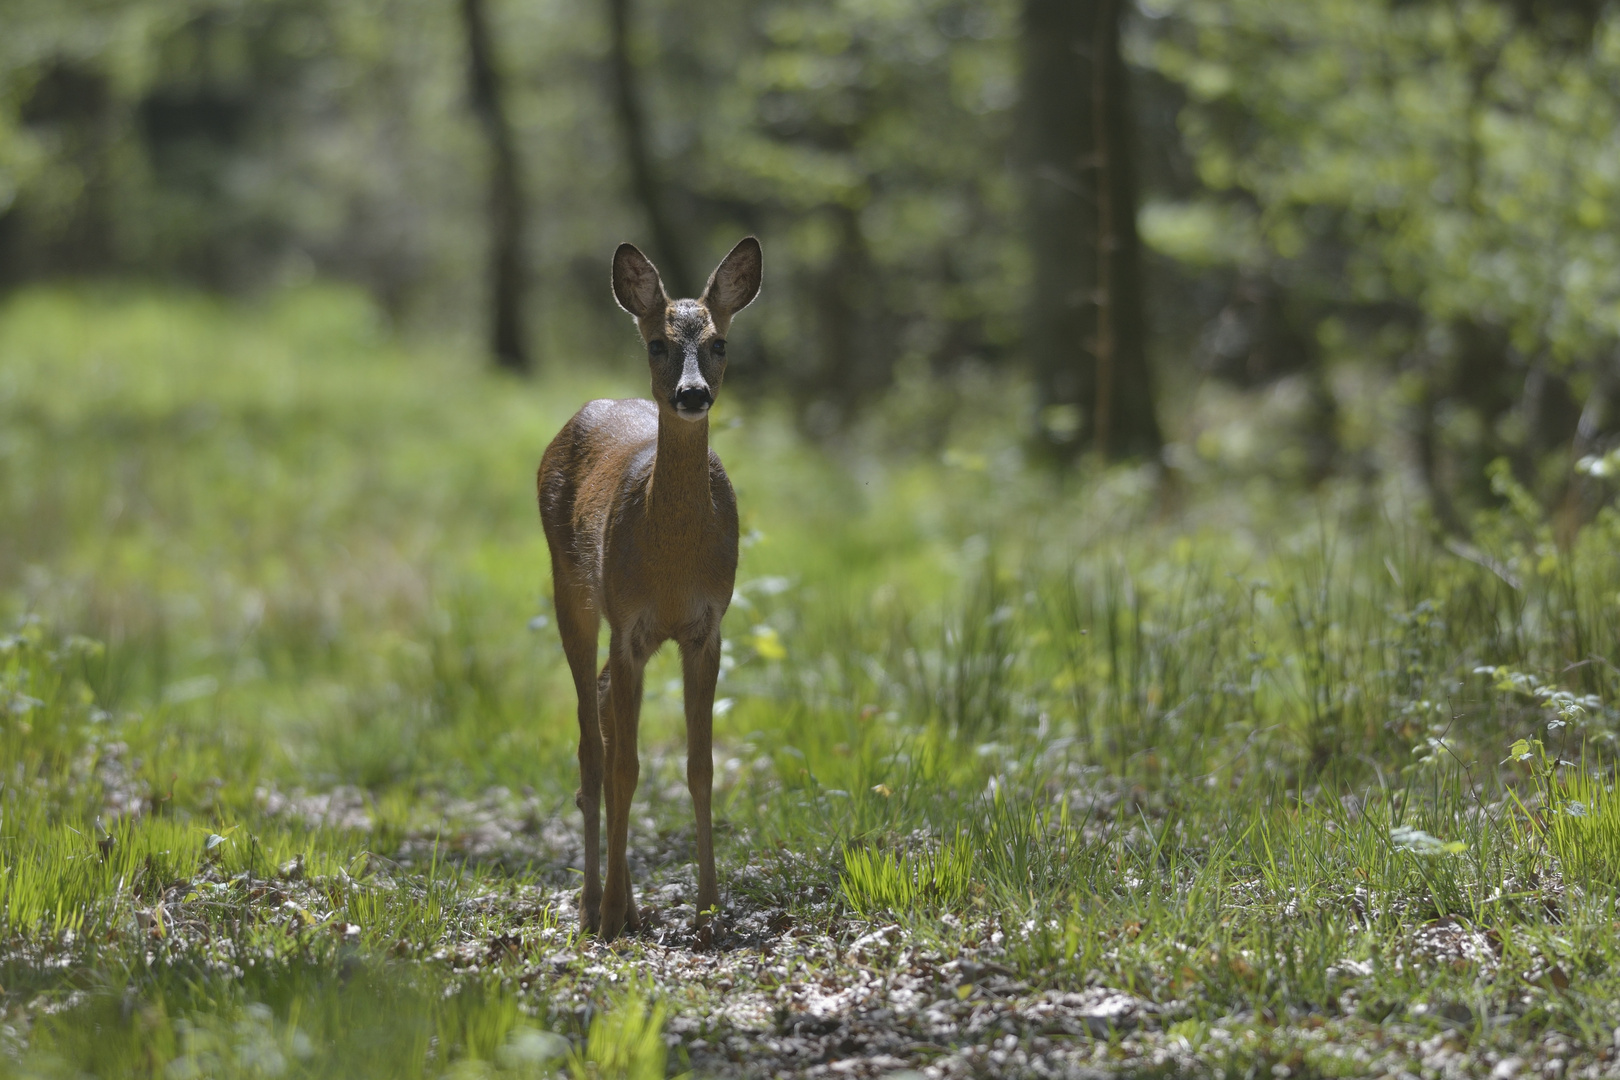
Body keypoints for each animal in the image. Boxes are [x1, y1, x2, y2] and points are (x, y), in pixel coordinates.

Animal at [534, 234, 754, 939]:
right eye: (657, 342)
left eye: (719, 341)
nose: (691, 394)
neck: (673, 564)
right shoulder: (629, 624)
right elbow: (626, 768)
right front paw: (607, 915)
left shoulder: (707, 627)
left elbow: (700, 767)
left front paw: (710, 913)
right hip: (571, 588)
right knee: (591, 746)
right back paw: (594, 906)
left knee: (603, 712)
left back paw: (627, 901)